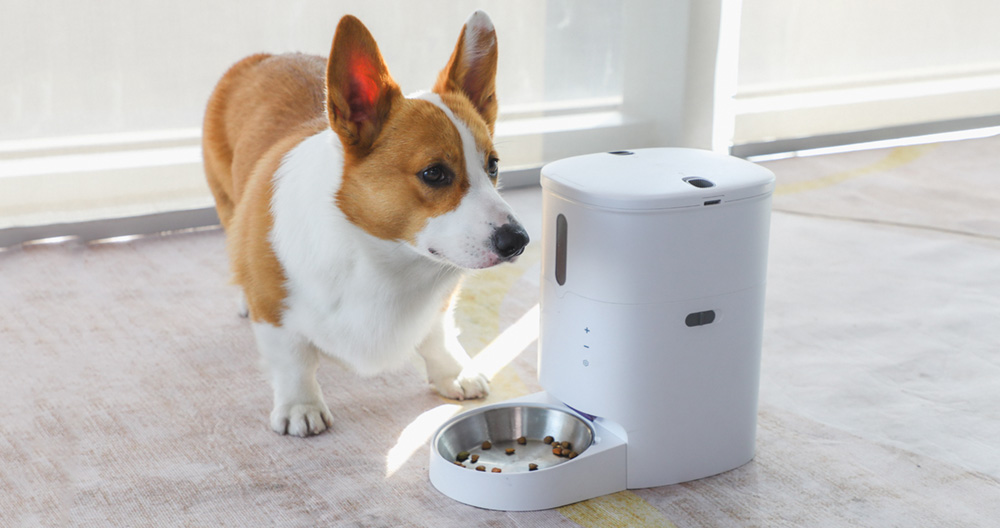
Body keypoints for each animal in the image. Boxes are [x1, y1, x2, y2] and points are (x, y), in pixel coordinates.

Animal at [205, 11, 532, 438]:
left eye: (492, 165)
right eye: (434, 173)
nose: (519, 240)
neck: (386, 258)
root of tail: (265, 57)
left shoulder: (439, 302)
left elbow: (438, 333)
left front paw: (454, 374)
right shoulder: (275, 313)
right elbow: (294, 361)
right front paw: (301, 407)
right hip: (226, 203)